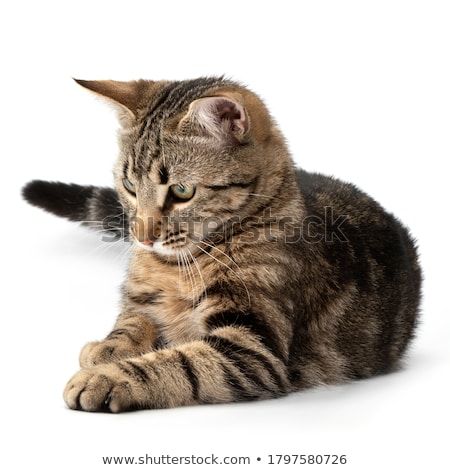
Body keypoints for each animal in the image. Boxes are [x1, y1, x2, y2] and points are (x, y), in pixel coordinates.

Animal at [22, 76, 422, 412]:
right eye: (130, 186)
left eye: (182, 191)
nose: (143, 236)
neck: (175, 265)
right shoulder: (140, 299)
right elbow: (132, 320)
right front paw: (110, 348)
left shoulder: (253, 351)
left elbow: (181, 363)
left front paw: (106, 377)